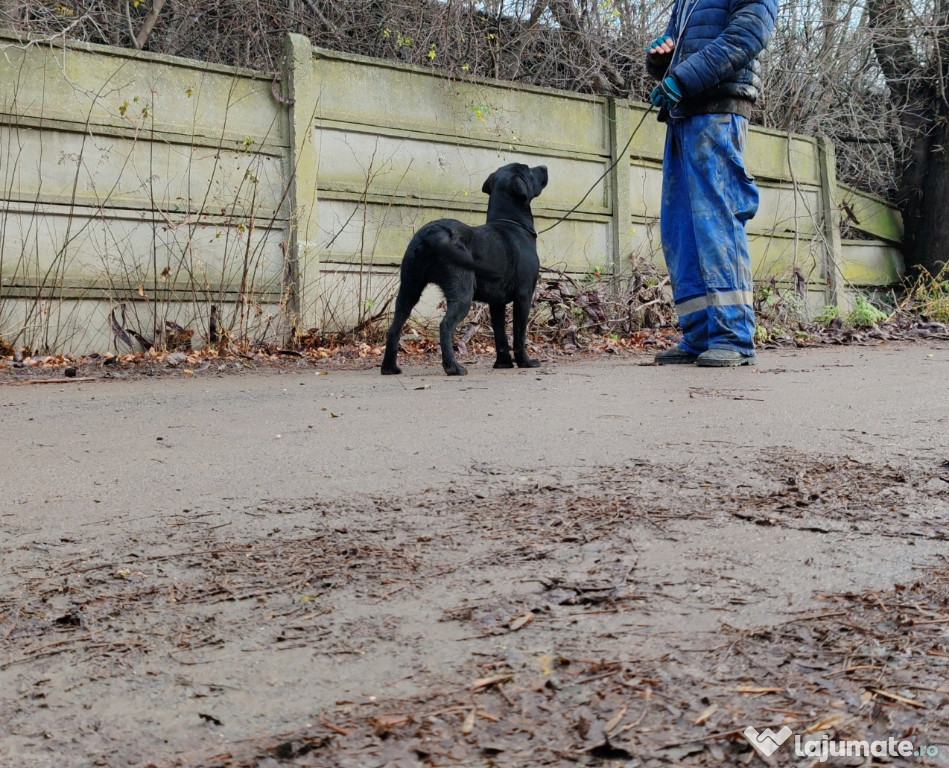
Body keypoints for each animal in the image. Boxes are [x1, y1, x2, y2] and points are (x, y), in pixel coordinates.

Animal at [382, 164, 548, 376]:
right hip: (462, 294)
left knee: (394, 328)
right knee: (445, 326)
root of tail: (434, 232)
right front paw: (525, 362)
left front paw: (503, 363)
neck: (512, 224)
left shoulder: (497, 303)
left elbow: (500, 335)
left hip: (409, 290)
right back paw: (453, 367)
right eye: (528, 170)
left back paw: (389, 367)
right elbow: (519, 335)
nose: (544, 166)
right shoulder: (524, 296)